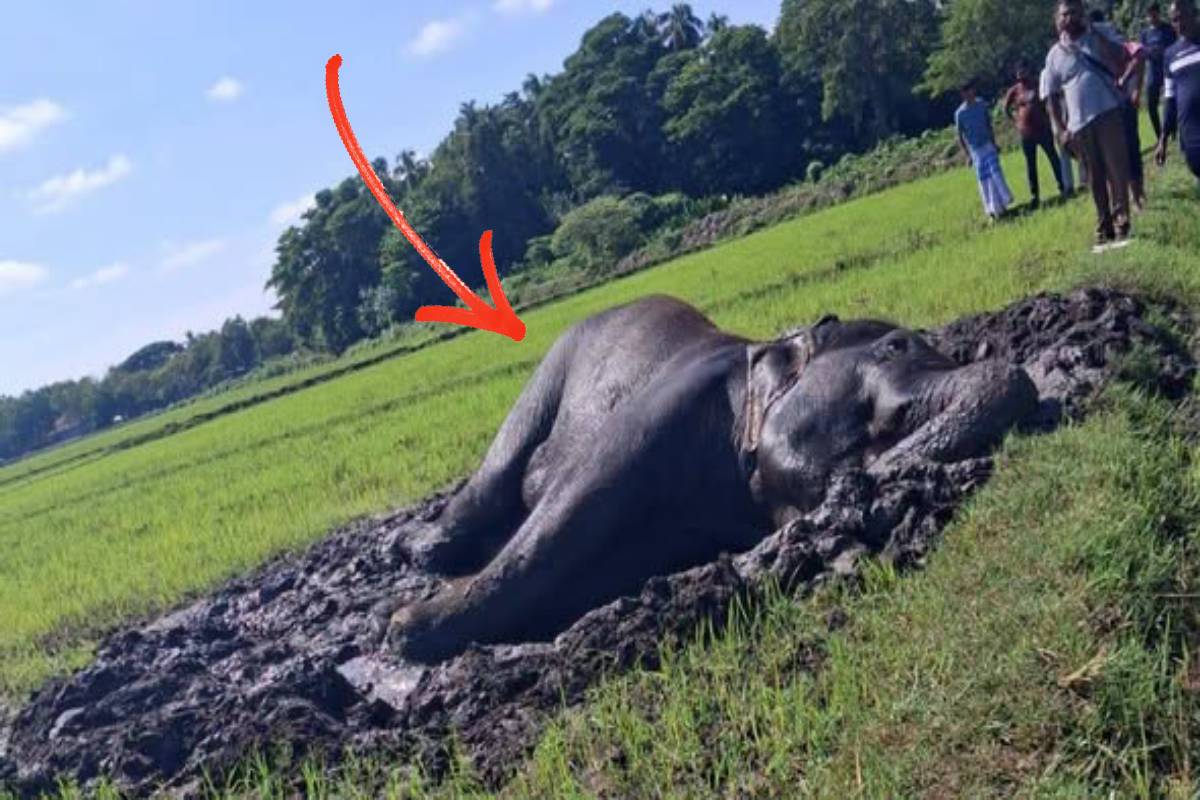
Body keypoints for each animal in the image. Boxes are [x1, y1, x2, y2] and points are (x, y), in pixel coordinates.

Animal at [389, 295, 1038, 663]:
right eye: (897, 345)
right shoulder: (661, 410)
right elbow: (565, 514)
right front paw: (406, 631)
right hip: (554, 363)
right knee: (500, 465)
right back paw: (413, 552)